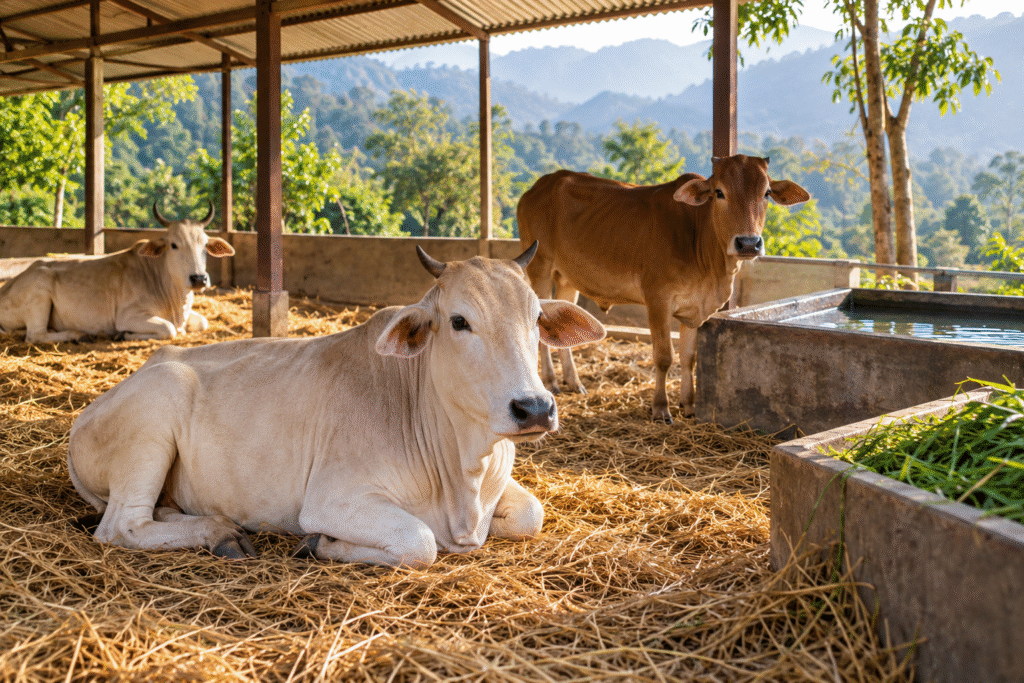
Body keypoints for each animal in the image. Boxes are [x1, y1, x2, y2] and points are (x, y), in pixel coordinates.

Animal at [0, 202, 233, 344]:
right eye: (174, 245)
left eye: (205, 244)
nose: (199, 278)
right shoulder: (129, 316)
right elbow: (169, 329)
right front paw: (123, 335)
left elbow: (202, 322)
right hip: (40, 289)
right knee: (35, 335)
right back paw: (79, 334)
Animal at [67, 244, 606, 568]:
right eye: (458, 321)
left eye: (536, 318)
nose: (535, 408)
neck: (464, 476)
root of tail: (86, 415)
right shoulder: (333, 499)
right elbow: (419, 542)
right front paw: (319, 543)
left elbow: (531, 513)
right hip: (152, 425)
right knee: (123, 526)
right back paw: (220, 535)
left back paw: (222, 527)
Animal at [517, 155, 810, 423]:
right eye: (719, 192)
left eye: (766, 193)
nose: (748, 243)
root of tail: (540, 185)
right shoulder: (658, 299)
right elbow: (664, 356)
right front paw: (660, 408)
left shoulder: (694, 309)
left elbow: (689, 357)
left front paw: (689, 405)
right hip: (540, 265)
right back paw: (552, 381)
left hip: (567, 277)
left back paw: (573, 381)